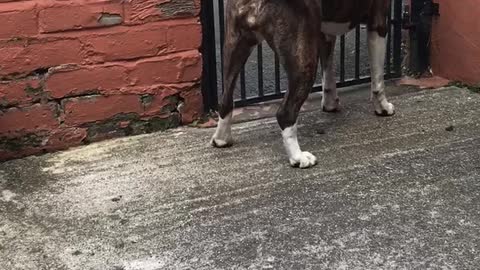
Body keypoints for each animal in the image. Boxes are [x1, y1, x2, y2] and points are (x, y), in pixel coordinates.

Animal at [210, 0, 394, 168]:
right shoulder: (378, 21)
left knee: (225, 100)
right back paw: (298, 157)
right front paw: (383, 107)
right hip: (304, 61)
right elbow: (377, 77)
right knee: (285, 113)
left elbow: (328, 73)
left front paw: (330, 104)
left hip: (234, 47)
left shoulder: (324, 34)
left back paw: (221, 139)